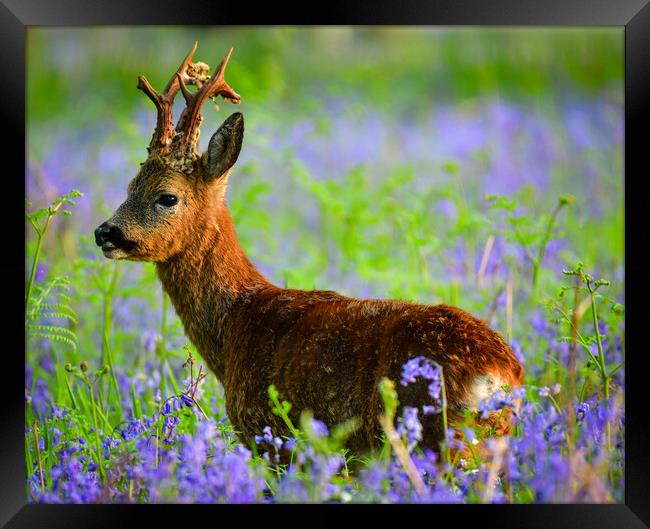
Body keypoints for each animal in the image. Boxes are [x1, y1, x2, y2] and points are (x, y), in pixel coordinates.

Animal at [95, 43, 520, 460]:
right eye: (130, 185)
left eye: (167, 197)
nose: (104, 232)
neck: (237, 323)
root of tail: (502, 377)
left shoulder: (268, 435)